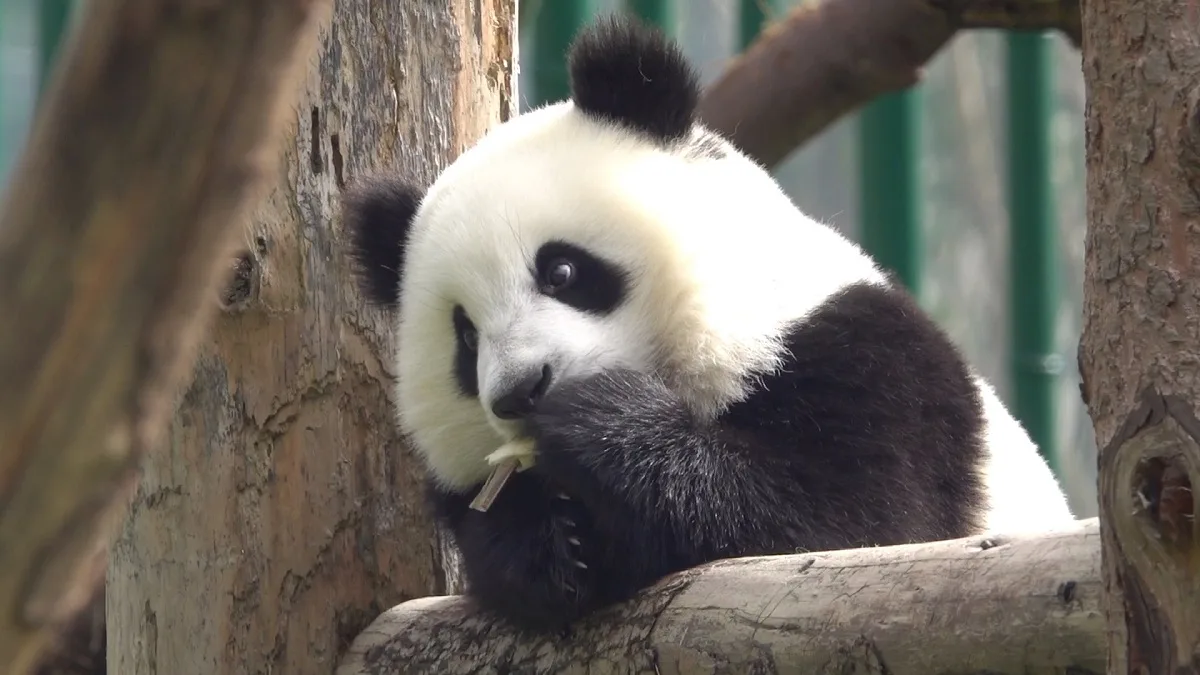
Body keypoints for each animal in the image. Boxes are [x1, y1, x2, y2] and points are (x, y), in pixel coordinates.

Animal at [343, 15, 1075, 633]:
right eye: (465, 337)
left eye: (562, 271)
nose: (522, 390)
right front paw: (546, 544)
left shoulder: (870, 360)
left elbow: (849, 521)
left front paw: (601, 423)